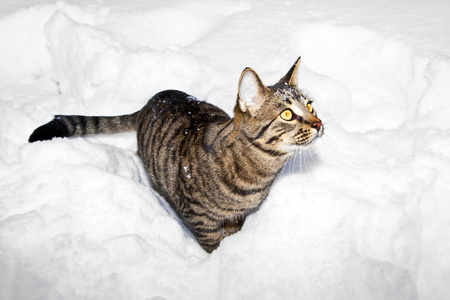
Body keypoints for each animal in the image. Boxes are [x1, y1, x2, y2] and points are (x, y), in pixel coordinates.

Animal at [29, 56, 324, 253]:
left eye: (310, 106)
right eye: (288, 114)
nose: (319, 124)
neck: (259, 173)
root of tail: (148, 103)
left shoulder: (237, 215)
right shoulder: (198, 217)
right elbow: (213, 243)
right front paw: (219, 259)